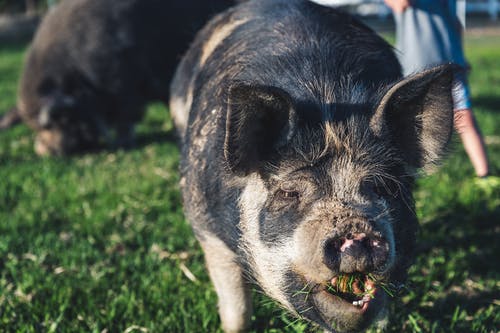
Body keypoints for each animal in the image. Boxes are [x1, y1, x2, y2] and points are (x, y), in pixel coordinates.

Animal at [170, 0, 456, 332]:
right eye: (288, 193)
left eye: (383, 186)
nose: (355, 230)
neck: (328, 101)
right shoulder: (205, 227)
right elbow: (236, 307)